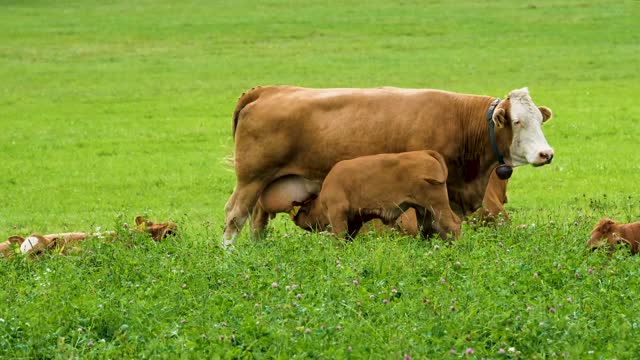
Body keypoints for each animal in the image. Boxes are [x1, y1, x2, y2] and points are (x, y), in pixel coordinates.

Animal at [290, 150, 460, 240]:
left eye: (303, 209)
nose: (295, 220)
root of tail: (424, 152)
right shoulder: (355, 218)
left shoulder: (337, 212)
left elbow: (339, 236)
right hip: (424, 211)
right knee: (432, 229)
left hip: (437, 205)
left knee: (454, 224)